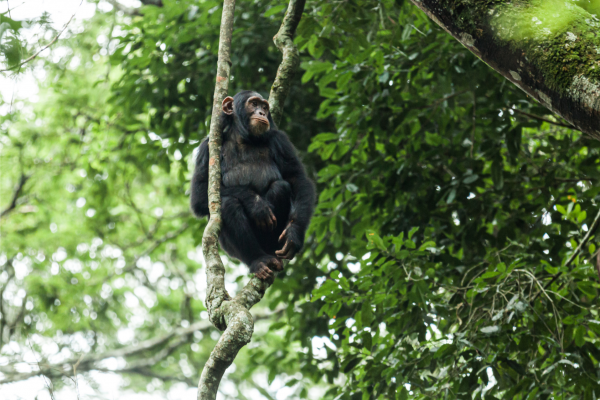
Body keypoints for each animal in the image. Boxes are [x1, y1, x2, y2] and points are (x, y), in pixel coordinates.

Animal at [191, 90, 314, 280]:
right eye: (254, 103)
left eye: (264, 106)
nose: (262, 113)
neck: (244, 139)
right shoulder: (207, 149)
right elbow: (199, 196)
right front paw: (256, 204)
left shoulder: (280, 140)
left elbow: (297, 179)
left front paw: (294, 234)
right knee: (228, 204)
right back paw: (259, 260)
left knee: (281, 187)